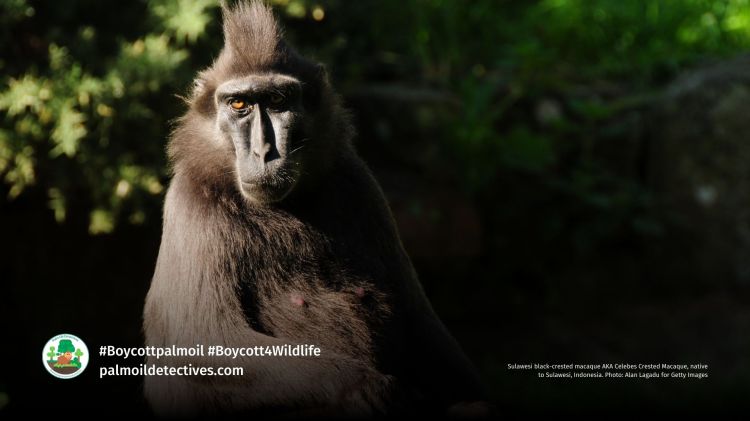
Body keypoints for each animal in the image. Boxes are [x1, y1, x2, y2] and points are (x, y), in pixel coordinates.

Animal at [143, 1, 488, 417]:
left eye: (278, 101)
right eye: (239, 104)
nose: (264, 152)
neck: (284, 206)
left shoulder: (359, 183)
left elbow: (419, 319)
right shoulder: (193, 207)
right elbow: (201, 348)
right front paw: (369, 389)